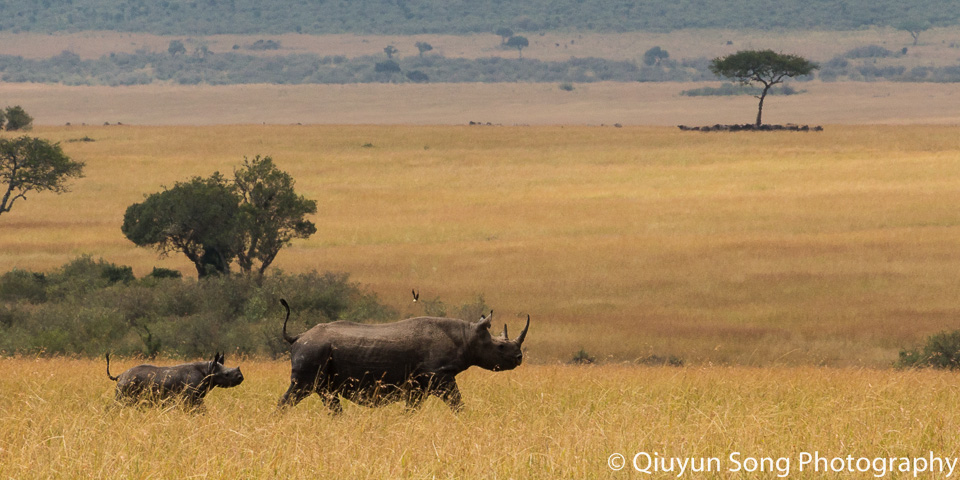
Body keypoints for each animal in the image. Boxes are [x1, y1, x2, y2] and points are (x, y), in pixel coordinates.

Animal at [106, 352, 244, 409]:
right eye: (226, 374)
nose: (240, 377)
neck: (209, 368)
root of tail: (120, 375)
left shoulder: (196, 397)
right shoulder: (191, 397)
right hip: (127, 384)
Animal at [277, 298, 529, 414]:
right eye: (500, 347)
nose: (519, 358)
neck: (467, 336)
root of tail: (297, 337)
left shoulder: (418, 383)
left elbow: (412, 408)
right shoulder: (439, 374)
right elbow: (457, 402)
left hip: (317, 355)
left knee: (327, 396)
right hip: (312, 351)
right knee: (299, 390)